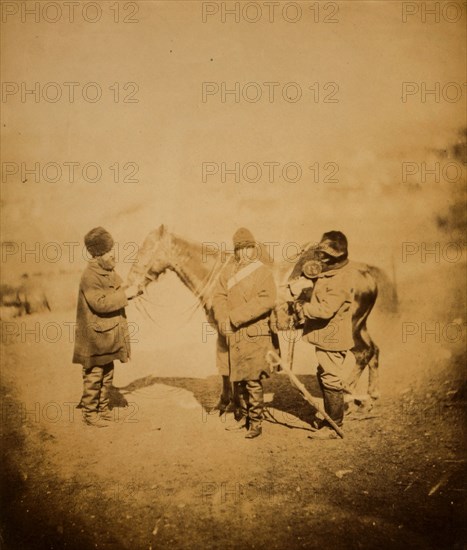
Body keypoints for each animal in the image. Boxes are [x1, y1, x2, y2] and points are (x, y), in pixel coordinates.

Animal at [126, 225, 396, 410]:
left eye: (147, 252)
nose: (129, 289)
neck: (223, 278)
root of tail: (366, 272)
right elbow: (228, 367)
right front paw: (234, 402)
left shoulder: (224, 331)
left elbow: (227, 367)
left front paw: (227, 404)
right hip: (360, 326)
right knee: (373, 352)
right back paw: (369, 398)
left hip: (350, 329)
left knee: (363, 354)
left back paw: (349, 395)